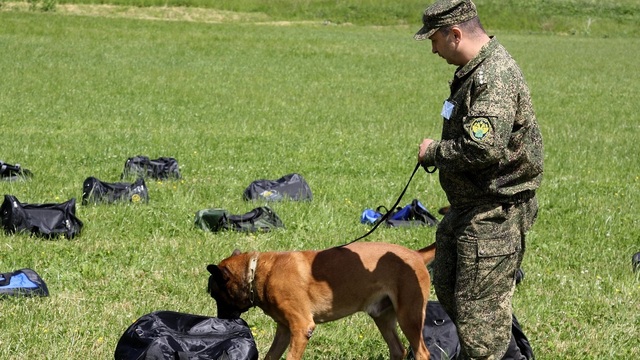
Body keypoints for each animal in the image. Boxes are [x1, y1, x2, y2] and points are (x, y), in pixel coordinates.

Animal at [208, 242, 438, 360]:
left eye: (213, 294)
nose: (221, 320)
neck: (257, 273)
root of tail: (416, 255)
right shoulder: (284, 330)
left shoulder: (302, 328)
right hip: (383, 317)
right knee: (398, 350)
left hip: (409, 317)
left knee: (422, 352)